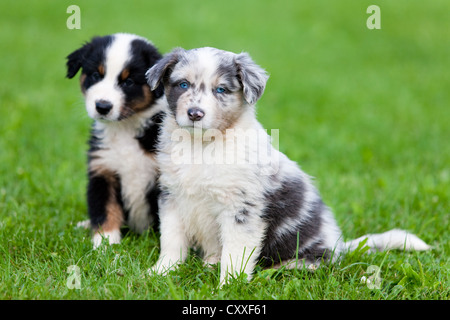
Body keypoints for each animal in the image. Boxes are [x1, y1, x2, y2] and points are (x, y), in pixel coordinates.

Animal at [67, 33, 165, 248]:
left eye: (128, 82)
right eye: (96, 75)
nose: (102, 106)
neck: (124, 129)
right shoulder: (103, 170)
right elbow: (105, 209)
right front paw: (105, 243)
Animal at [146, 46, 430, 284]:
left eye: (221, 90)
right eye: (183, 85)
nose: (195, 114)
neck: (202, 146)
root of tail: (340, 246)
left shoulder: (242, 209)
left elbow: (235, 253)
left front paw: (230, 285)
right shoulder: (171, 197)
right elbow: (171, 240)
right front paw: (161, 272)